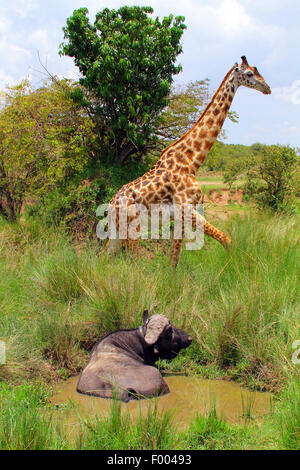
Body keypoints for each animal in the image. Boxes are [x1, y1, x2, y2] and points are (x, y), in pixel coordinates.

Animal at [101, 56, 272, 264]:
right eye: (249, 74)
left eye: (257, 71)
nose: (267, 88)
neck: (191, 162)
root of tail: (110, 205)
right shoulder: (186, 209)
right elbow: (221, 241)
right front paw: (234, 267)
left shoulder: (183, 215)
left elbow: (177, 256)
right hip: (133, 227)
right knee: (132, 261)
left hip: (117, 231)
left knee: (104, 257)